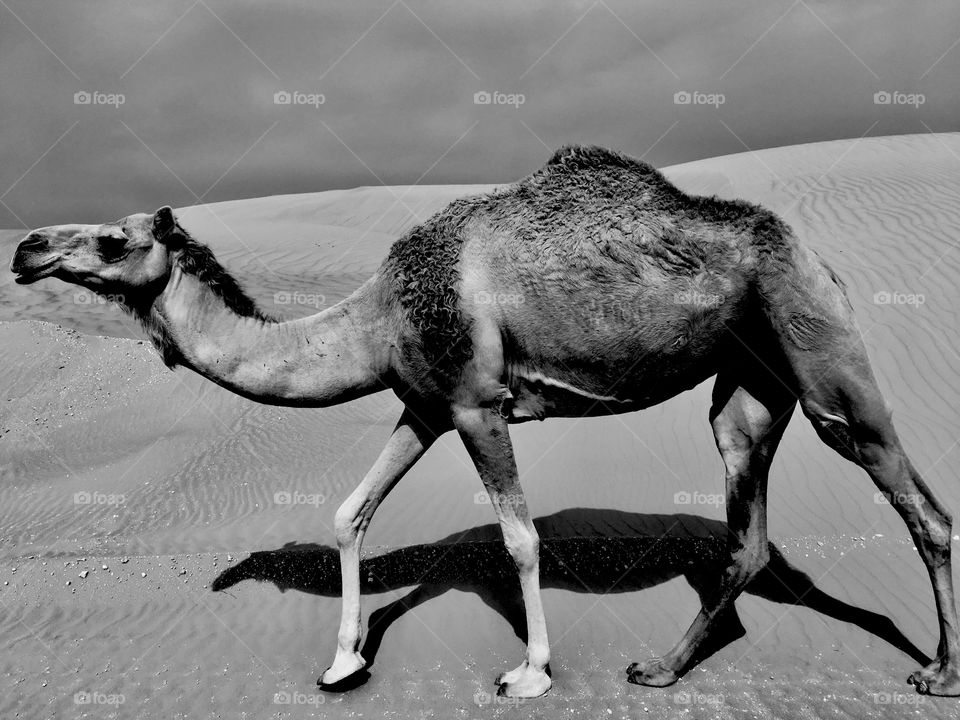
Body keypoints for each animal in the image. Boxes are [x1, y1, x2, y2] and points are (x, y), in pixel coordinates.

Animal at [9, 144, 959, 699]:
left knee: (920, 506)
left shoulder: (476, 404)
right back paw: (658, 668)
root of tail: (821, 258)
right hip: (750, 383)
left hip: (821, 350)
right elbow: (349, 513)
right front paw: (344, 661)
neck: (377, 316)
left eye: (114, 241)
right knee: (747, 526)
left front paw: (531, 672)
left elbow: (520, 538)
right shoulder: (422, 404)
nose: (25, 248)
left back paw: (938, 672)